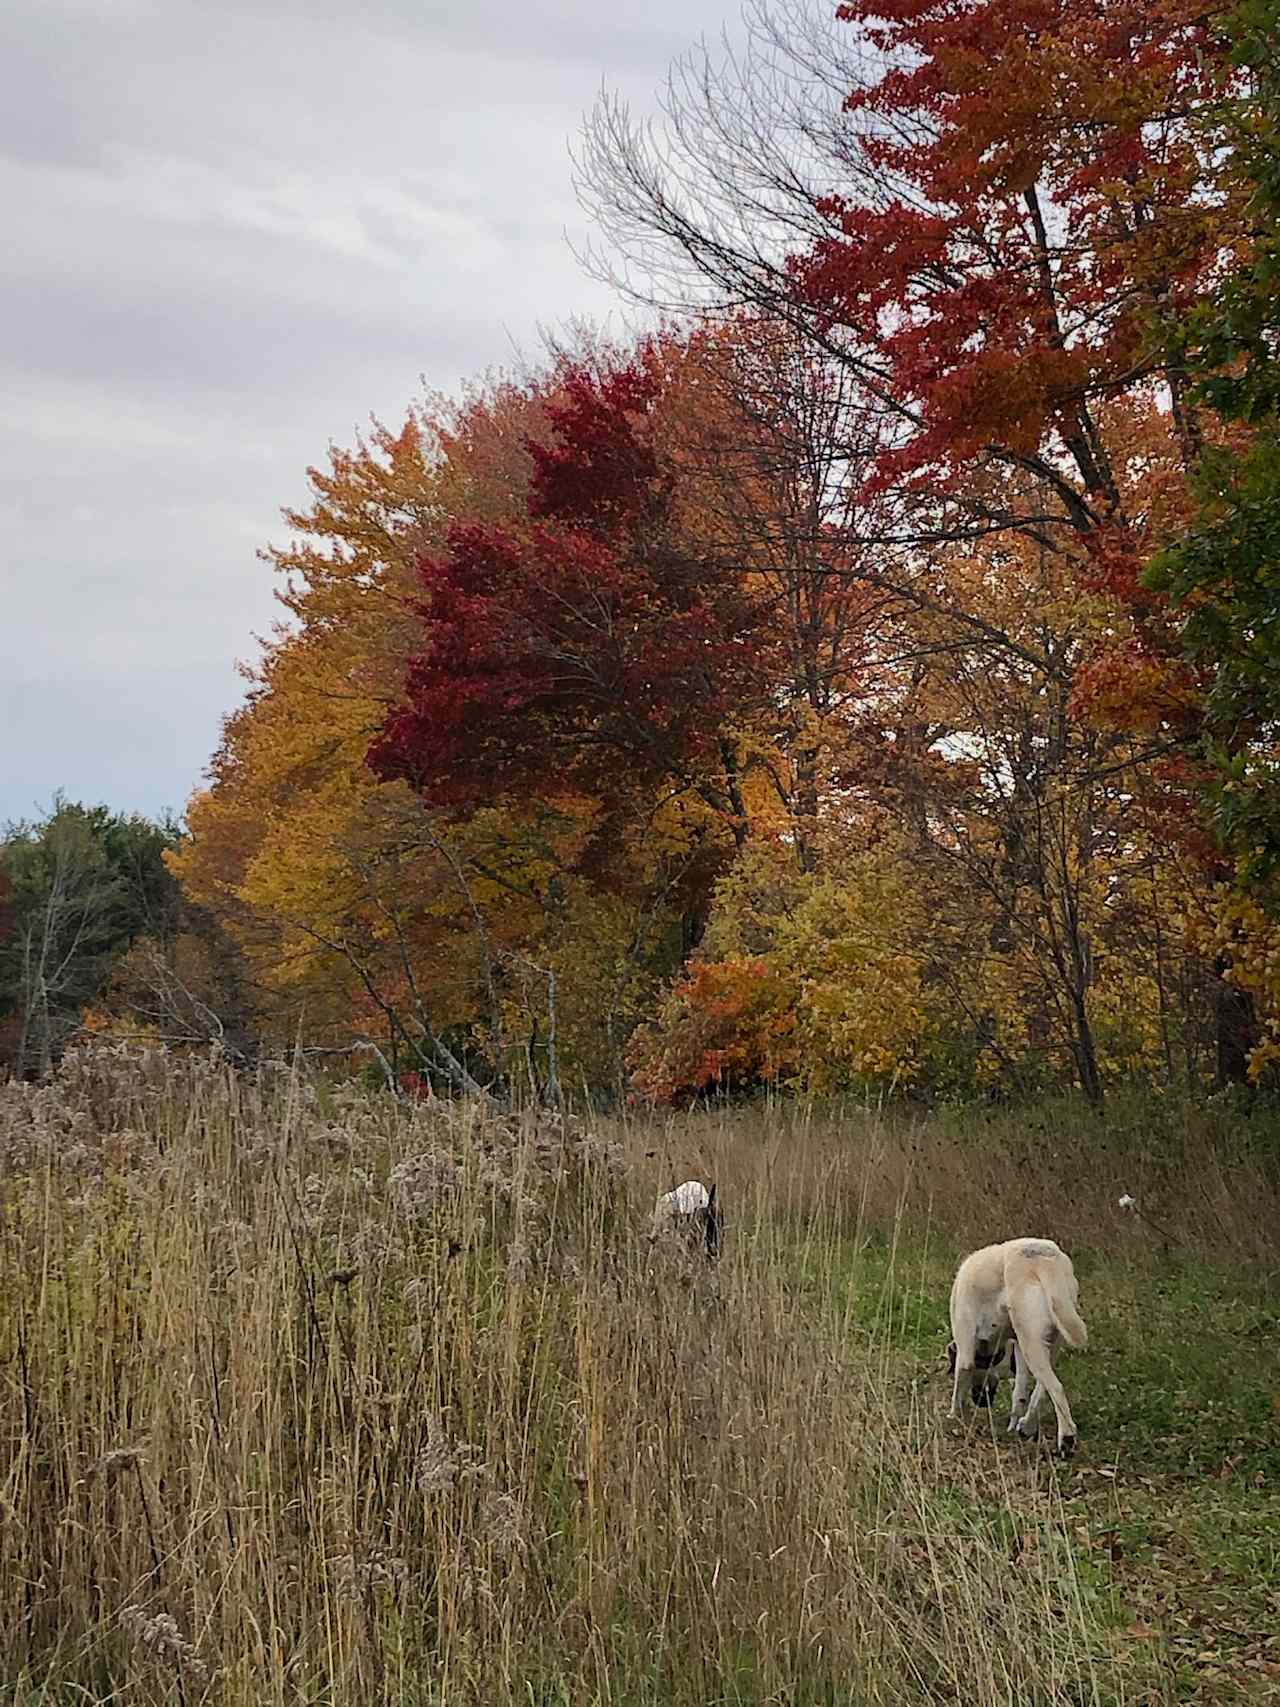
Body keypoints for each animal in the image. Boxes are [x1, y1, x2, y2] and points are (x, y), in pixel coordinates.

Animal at [948, 1235, 1085, 1461]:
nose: (981, 1402)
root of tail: (1043, 1259)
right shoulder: (1017, 1348)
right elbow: (1019, 1391)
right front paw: (1013, 1423)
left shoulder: (965, 1345)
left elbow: (959, 1384)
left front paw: (953, 1417)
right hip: (1046, 1339)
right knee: (1041, 1387)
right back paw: (1027, 1426)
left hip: (1031, 1341)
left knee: (1056, 1387)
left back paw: (1066, 1439)